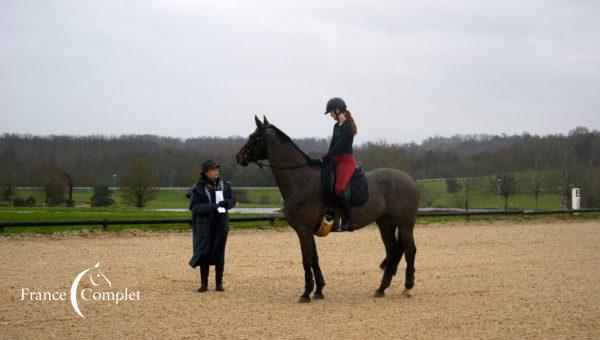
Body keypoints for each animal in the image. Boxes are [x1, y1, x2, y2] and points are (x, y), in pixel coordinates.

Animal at [234, 115, 418, 302]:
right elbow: (315, 259)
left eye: (255, 137)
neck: (301, 179)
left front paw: (306, 293)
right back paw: (382, 288)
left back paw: (407, 287)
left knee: (410, 250)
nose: (239, 156)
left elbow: (306, 260)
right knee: (392, 250)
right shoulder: (309, 230)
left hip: (405, 224)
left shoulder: (303, 230)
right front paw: (319, 291)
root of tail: (409, 179)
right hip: (386, 223)